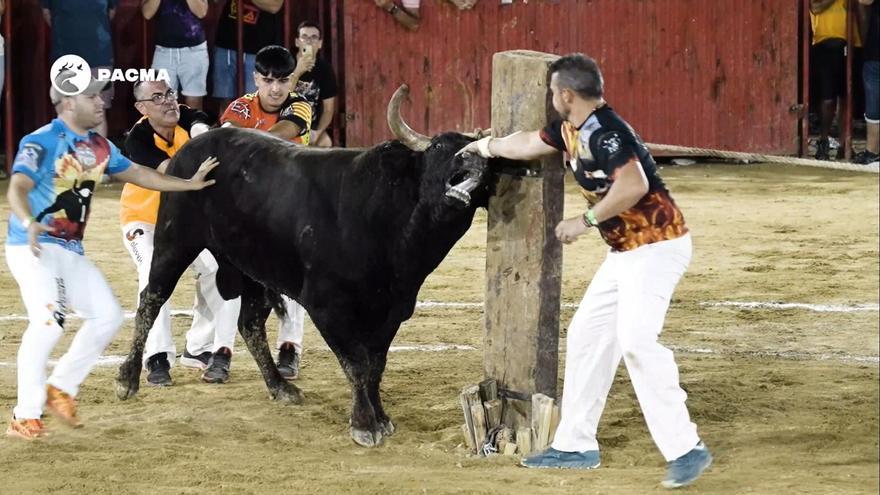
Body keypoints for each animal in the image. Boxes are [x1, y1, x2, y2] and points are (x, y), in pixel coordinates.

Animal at [116, 90, 508, 450]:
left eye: (488, 164)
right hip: (175, 239)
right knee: (151, 299)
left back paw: (280, 387)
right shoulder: (327, 306)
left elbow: (376, 365)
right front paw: (364, 424)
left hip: (251, 267)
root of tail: (196, 144)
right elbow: (356, 364)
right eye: (440, 148)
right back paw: (128, 380)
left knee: (250, 323)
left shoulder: (393, 310)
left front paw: (381, 417)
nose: (472, 164)